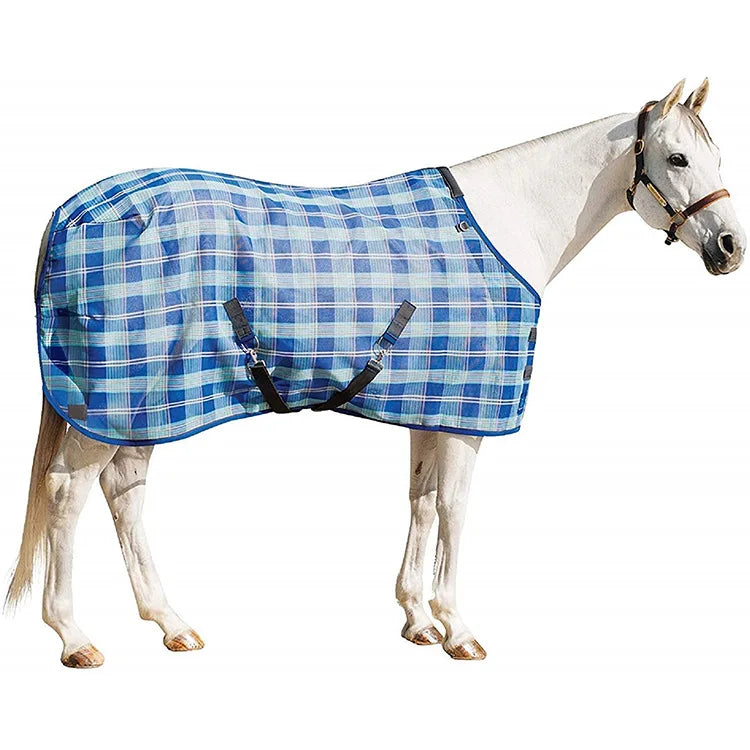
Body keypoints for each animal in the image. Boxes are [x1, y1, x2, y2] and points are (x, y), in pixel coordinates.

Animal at [6, 79, 745, 668]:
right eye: (677, 157)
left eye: (716, 155)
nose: (730, 247)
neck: (504, 227)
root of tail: (70, 210)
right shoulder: (467, 416)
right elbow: (453, 510)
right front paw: (458, 630)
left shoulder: (428, 406)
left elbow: (420, 500)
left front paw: (418, 620)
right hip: (105, 405)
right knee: (68, 495)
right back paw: (75, 638)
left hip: (146, 402)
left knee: (125, 492)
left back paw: (172, 624)